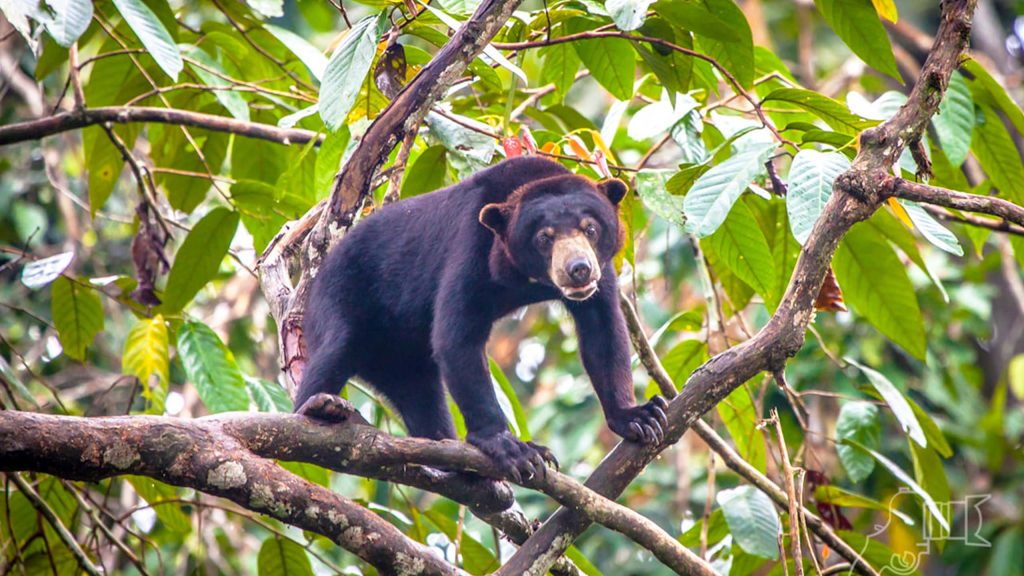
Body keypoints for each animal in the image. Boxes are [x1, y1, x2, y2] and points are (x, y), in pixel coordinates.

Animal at [292, 154, 667, 477]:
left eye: (590, 228)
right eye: (544, 238)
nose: (578, 269)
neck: (527, 279)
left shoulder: (603, 274)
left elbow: (603, 331)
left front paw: (640, 417)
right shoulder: (471, 249)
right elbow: (458, 338)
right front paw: (514, 448)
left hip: (405, 357)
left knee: (423, 395)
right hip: (340, 297)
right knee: (333, 352)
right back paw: (320, 410)